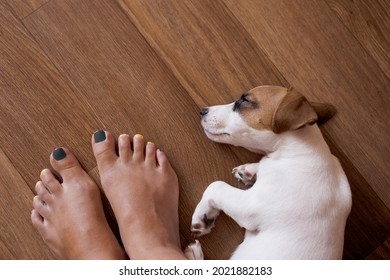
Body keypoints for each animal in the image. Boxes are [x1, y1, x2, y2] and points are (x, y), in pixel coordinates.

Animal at [185, 86, 350, 260]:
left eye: (245, 100)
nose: (202, 111)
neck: (300, 153)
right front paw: (249, 171)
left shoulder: (249, 206)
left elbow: (215, 186)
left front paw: (202, 215)